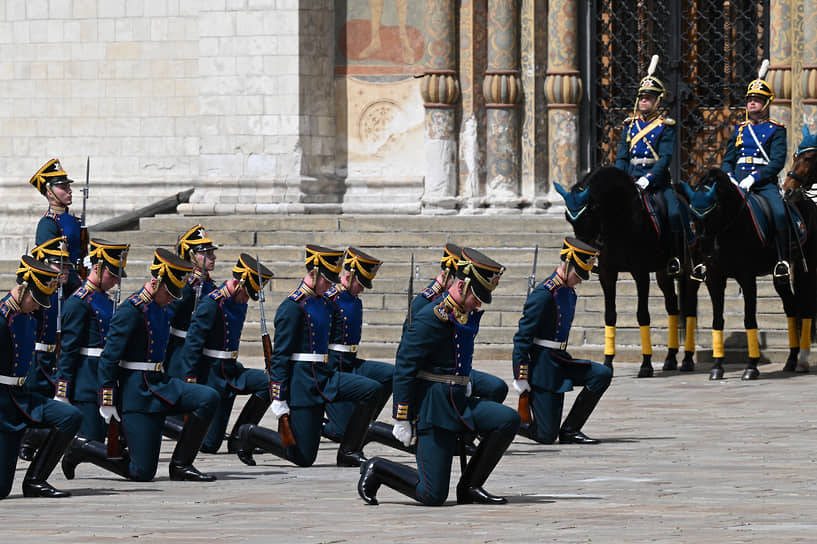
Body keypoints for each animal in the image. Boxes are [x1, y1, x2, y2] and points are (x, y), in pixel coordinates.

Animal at [556, 166, 700, 378]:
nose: (579, 257)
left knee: (689, 308)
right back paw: (670, 358)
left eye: (590, 214)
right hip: (662, 272)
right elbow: (610, 315)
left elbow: (642, 315)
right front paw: (608, 362)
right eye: (568, 218)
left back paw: (688, 359)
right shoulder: (607, 274)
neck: (620, 219)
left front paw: (646, 364)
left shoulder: (640, 273)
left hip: (689, 270)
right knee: (672, 305)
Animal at [680, 168, 812, 380]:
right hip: (779, 277)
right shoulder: (715, 279)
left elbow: (749, 319)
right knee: (791, 307)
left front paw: (751, 367)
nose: (704, 251)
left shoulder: (747, 277)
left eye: (714, 210)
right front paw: (717, 367)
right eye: (692, 213)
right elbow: (717, 320)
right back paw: (791, 360)